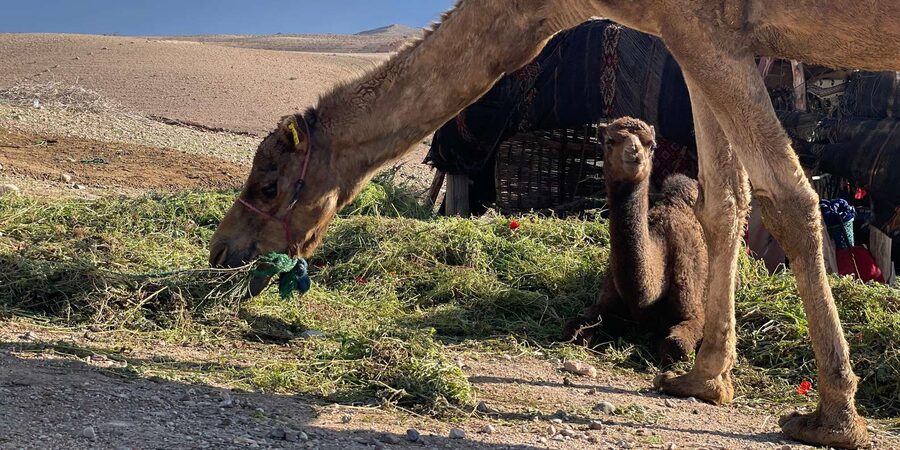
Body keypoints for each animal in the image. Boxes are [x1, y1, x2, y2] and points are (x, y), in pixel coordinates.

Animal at [562, 117, 706, 365]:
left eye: (652, 145)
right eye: (610, 141)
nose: (634, 152)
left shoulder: (695, 312)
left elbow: (675, 346)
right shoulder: (608, 300)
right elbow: (573, 329)